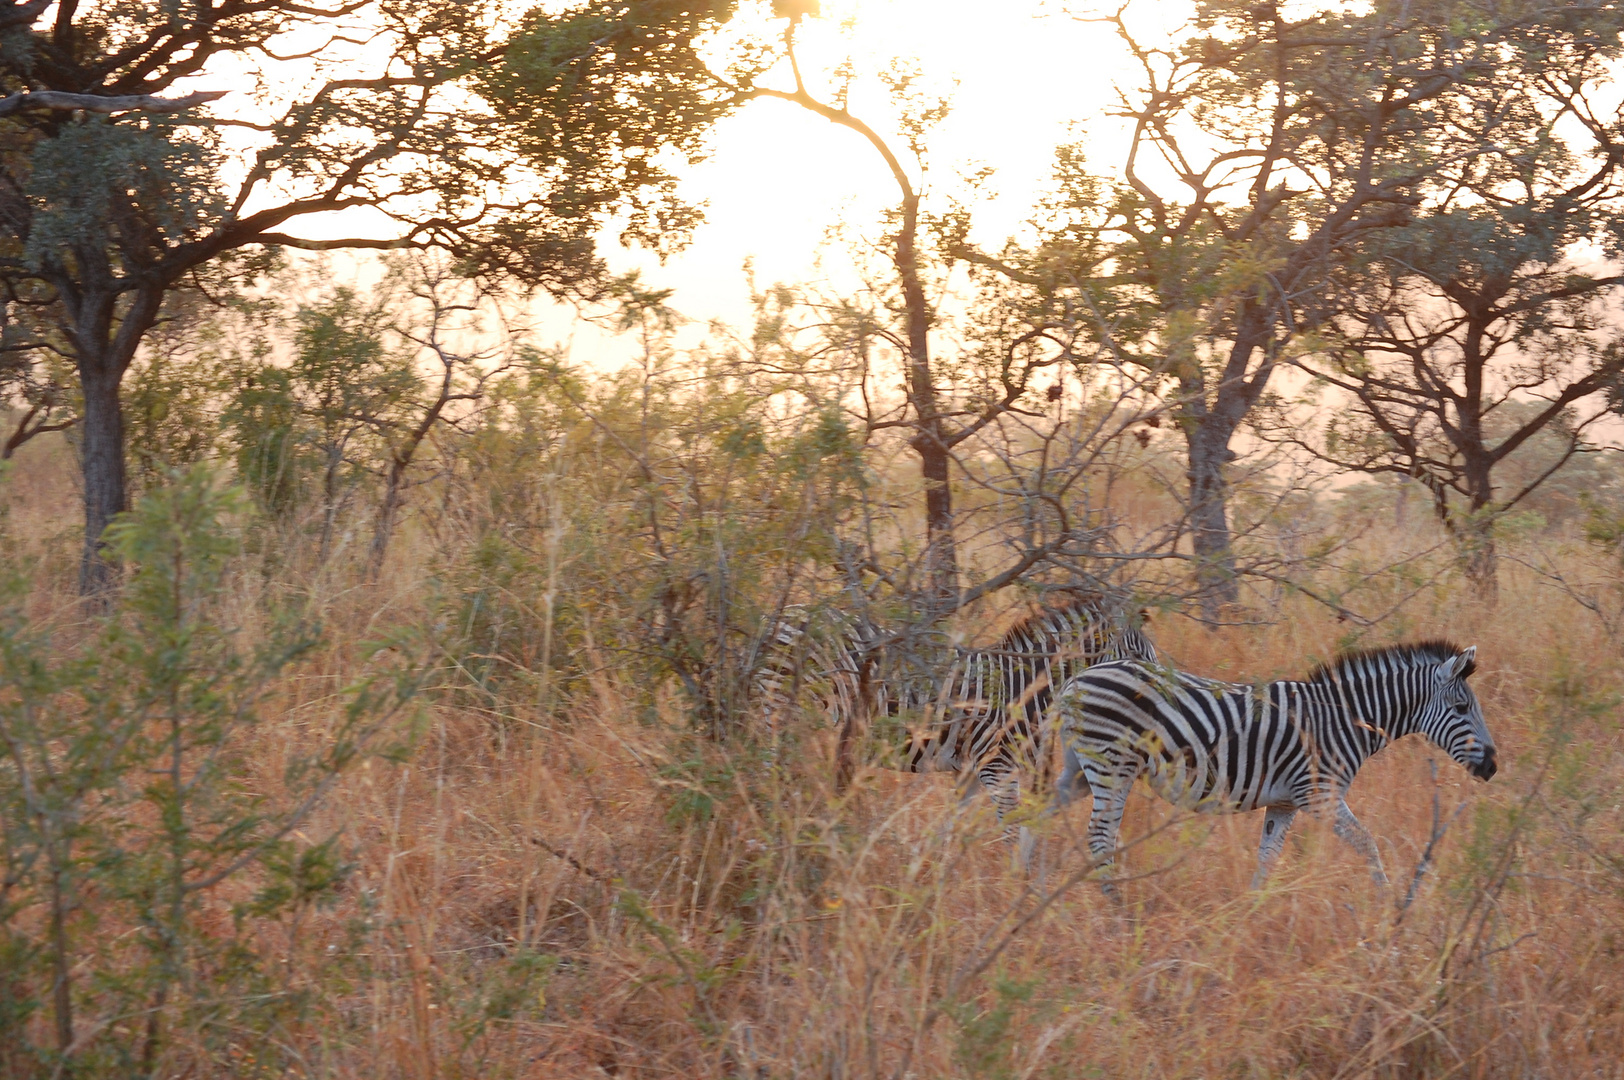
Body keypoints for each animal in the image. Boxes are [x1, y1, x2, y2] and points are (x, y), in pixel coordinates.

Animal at [753, 591, 1162, 831]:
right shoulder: (997, 768)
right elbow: (1011, 830)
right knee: (764, 769)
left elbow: (949, 831)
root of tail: (779, 615)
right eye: (1140, 657)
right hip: (782, 708)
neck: (1024, 686)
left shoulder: (969, 774)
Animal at [1052, 639, 1494, 889]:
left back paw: (1037, 895)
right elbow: (1368, 843)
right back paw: (1117, 911)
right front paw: (1387, 912)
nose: (1492, 767)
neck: (1343, 720)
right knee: (1100, 839)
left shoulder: (1285, 802)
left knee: (1039, 816)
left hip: (1079, 769)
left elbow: (1267, 859)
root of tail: (1076, 680)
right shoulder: (1319, 794)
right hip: (1112, 767)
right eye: (1461, 708)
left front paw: (1248, 913)